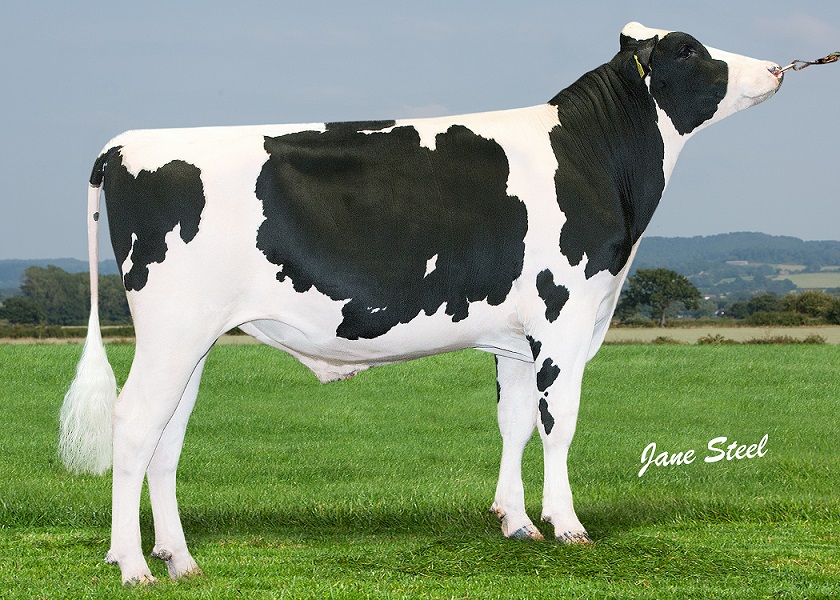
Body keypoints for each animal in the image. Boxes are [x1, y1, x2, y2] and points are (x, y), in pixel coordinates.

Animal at [59, 22, 784, 585]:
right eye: (688, 49)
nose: (778, 67)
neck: (592, 160)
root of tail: (124, 145)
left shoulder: (516, 337)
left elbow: (515, 422)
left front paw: (516, 522)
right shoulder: (564, 318)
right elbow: (559, 424)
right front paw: (568, 525)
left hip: (193, 338)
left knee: (166, 436)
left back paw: (179, 560)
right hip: (173, 329)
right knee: (133, 424)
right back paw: (133, 565)